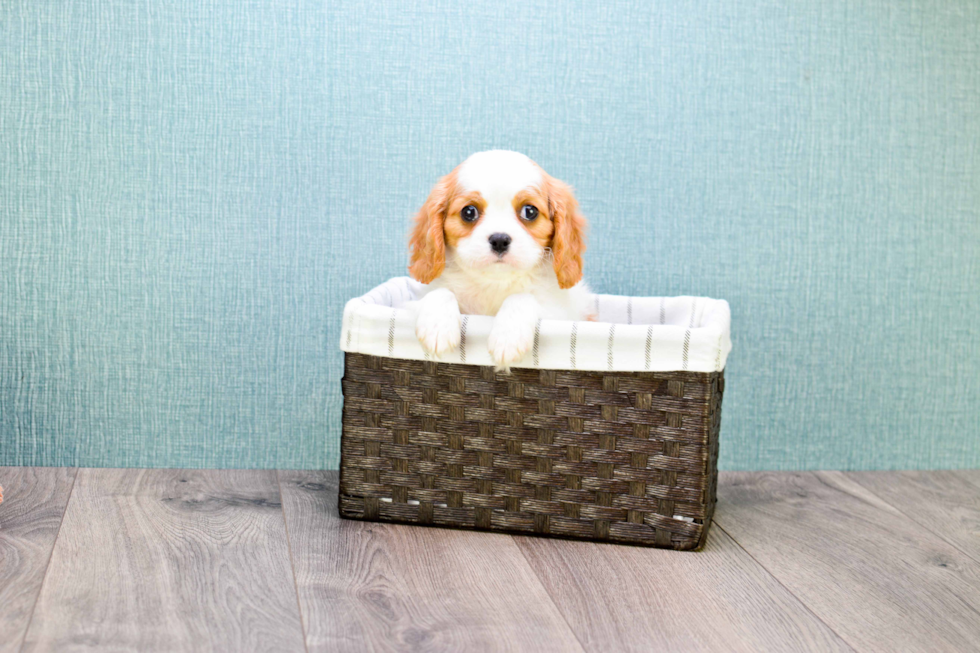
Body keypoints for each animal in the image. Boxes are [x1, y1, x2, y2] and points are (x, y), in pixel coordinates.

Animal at [410, 150, 592, 370]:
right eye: (468, 212)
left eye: (530, 211)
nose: (499, 239)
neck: (495, 283)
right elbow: (440, 292)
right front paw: (437, 327)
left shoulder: (561, 313)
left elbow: (522, 298)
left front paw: (508, 337)